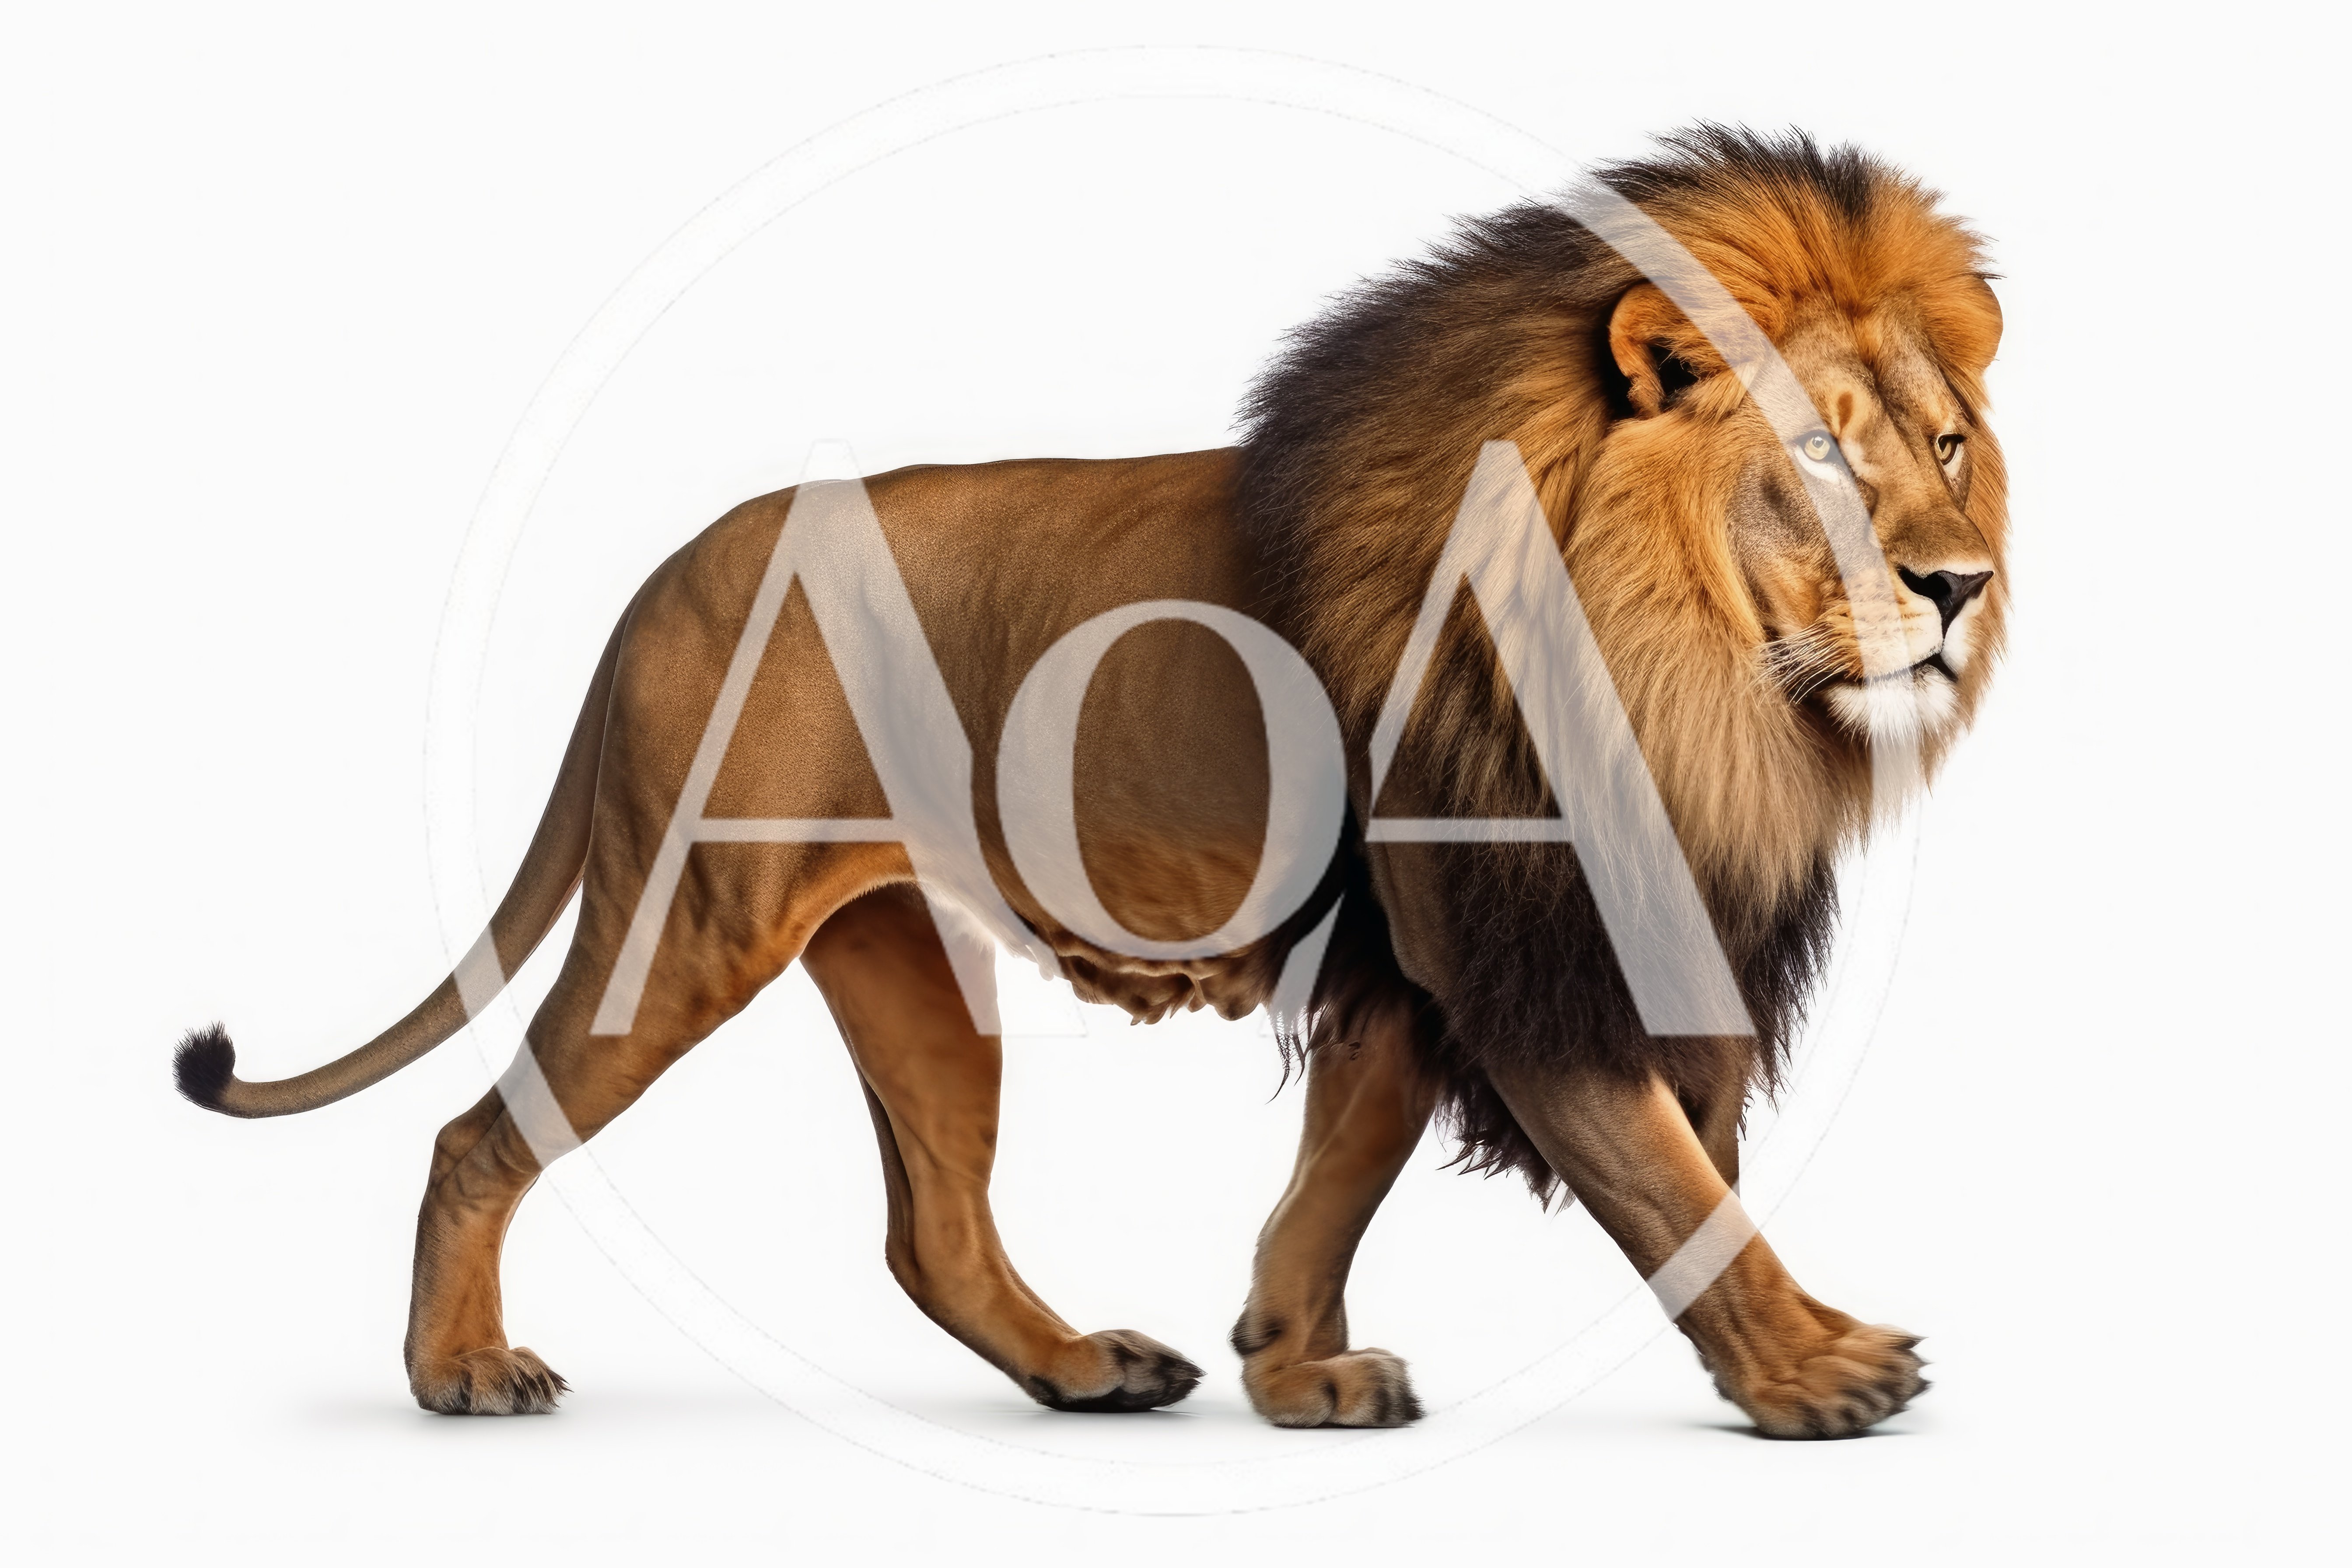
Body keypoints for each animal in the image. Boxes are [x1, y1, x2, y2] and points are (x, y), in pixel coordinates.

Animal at [174, 126, 2005, 1440]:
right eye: (1819, 454)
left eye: (1945, 443)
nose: (1957, 585)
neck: (1693, 669)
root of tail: (666, 574)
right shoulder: (1508, 937)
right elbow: (1663, 1174)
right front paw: (1813, 1368)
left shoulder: (1404, 954)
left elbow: (1337, 1172)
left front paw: (1291, 1364)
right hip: (688, 915)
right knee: (476, 1131)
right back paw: (460, 1368)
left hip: (902, 962)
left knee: (930, 1228)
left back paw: (1081, 1367)